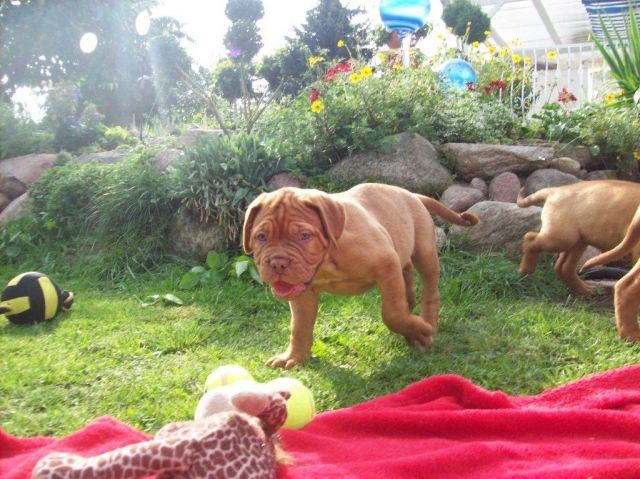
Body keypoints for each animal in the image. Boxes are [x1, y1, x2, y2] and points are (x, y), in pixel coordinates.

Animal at [242, 183, 479, 369]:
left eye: (304, 236)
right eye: (261, 237)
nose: (278, 263)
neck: (328, 258)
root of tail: (412, 194)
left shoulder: (386, 263)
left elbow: (392, 314)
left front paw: (420, 331)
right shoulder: (302, 292)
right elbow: (299, 326)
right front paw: (294, 357)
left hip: (425, 252)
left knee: (430, 288)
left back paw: (427, 321)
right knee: (407, 271)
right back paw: (410, 305)